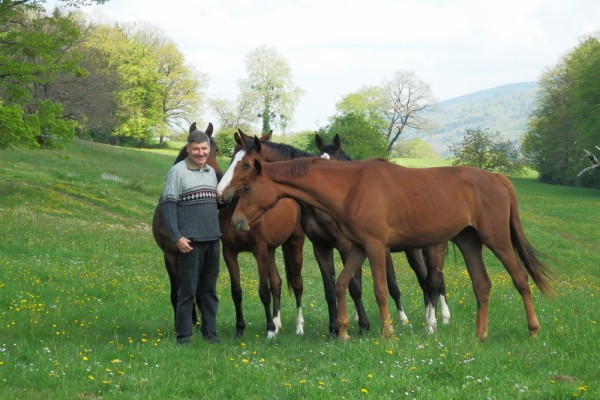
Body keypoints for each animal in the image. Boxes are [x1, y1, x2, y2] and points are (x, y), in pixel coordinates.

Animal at [219, 129, 305, 338]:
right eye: (232, 158)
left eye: (247, 164)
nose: (220, 194)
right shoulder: (229, 252)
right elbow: (237, 291)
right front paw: (240, 328)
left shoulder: (259, 250)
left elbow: (263, 291)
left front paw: (269, 330)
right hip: (271, 251)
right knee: (277, 283)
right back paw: (277, 322)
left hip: (295, 244)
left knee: (297, 285)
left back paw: (298, 326)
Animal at [224, 157, 554, 341]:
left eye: (247, 186)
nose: (236, 219)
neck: (351, 187)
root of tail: (496, 177)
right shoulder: (358, 247)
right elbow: (342, 284)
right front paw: (344, 330)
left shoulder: (374, 247)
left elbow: (381, 290)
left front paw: (387, 331)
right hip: (468, 241)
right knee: (482, 285)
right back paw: (479, 335)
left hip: (497, 240)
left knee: (520, 280)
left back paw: (533, 329)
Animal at [315, 133, 451, 331]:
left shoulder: (381, 250)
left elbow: (391, 285)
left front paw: (401, 320)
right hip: (415, 250)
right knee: (427, 278)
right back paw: (432, 316)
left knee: (436, 279)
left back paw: (443, 317)